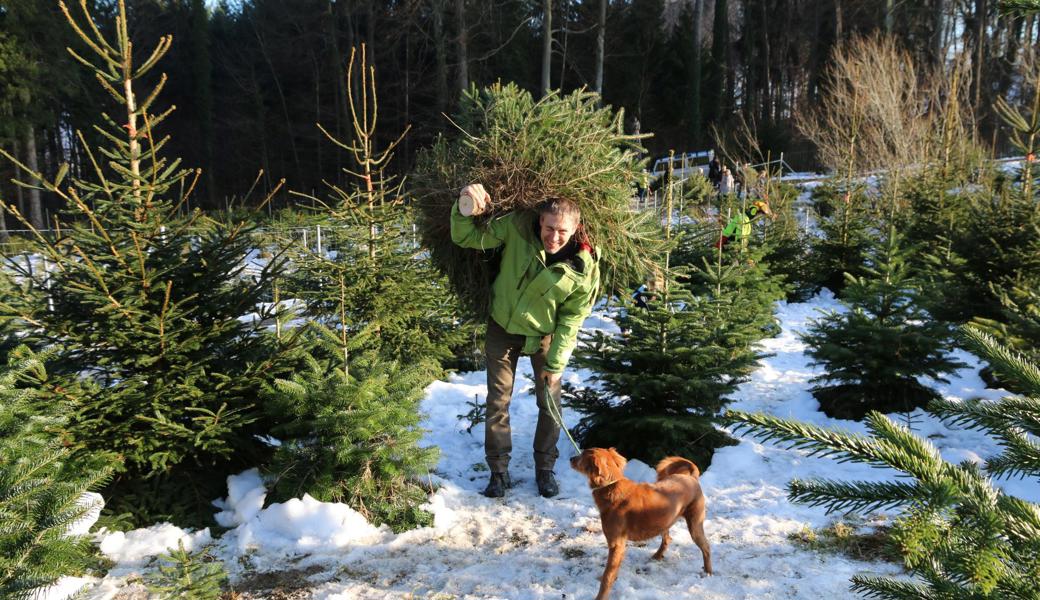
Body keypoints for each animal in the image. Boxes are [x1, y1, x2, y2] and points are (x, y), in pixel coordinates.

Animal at [574, 447, 711, 594]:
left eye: (582, 455)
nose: (570, 459)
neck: (610, 487)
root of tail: (691, 477)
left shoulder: (616, 544)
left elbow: (608, 576)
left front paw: (602, 593)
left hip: (695, 525)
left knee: (706, 547)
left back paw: (708, 572)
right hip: (663, 521)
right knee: (667, 539)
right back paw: (657, 556)